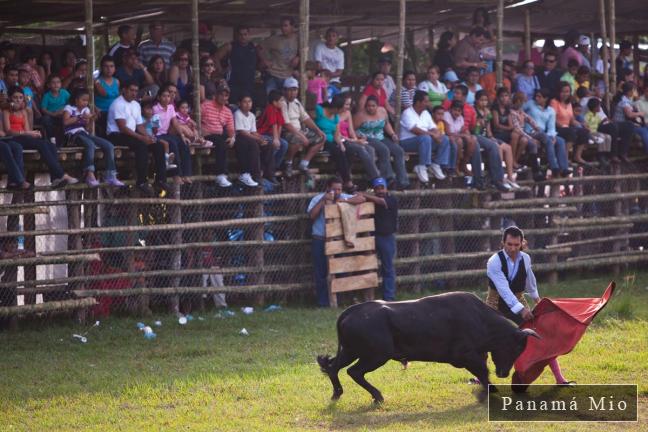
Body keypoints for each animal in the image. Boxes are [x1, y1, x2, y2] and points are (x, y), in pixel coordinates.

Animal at [316, 292, 540, 404]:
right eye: (515, 348)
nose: (503, 373)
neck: (481, 319)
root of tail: (350, 312)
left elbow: (482, 372)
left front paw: (489, 390)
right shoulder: (467, 355)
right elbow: (483, 372)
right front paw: (487, 393)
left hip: (350, 351)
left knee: (333, 367)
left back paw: (337, 394)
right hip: (376, 356)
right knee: (354, 371)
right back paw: (377, 396)